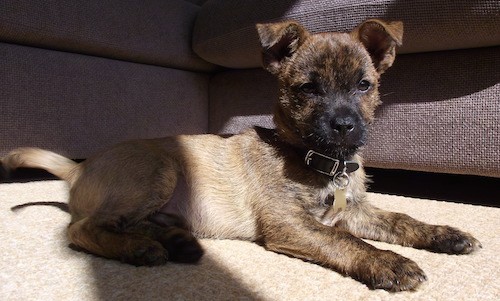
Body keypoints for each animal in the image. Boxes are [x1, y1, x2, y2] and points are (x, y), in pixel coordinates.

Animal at [2, 19, 480, 290]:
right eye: (307, 89)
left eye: (365, 85)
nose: (344, 126)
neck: (314, 158)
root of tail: (77, 167)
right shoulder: (289, 223)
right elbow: (344, 240)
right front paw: (388, 263)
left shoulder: (355, 211)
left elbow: (400, 218)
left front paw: (445, 234)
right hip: (158, 171)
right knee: (81, 228)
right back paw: (140, 249)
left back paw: (173, 241)